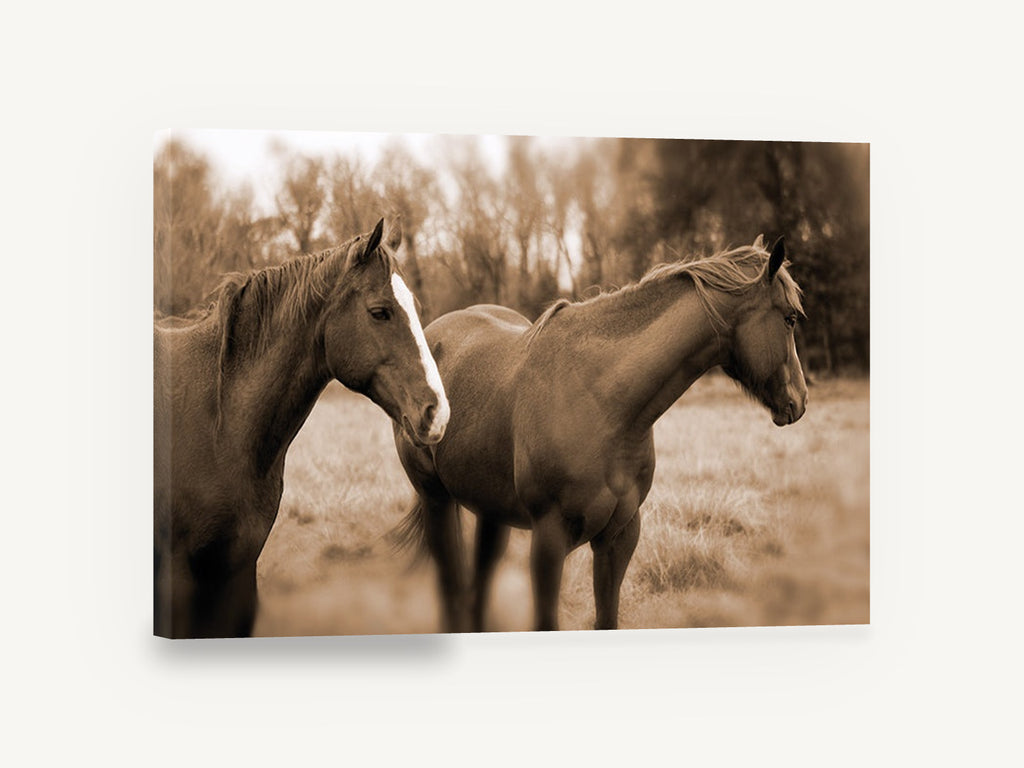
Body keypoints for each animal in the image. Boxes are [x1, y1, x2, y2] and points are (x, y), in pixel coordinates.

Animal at [394, 235, 807, 632]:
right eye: (789, 318)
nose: (799, 402)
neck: (602, 402)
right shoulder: (549, 539)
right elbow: (545, 624)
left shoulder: (620, 536)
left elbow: (607, 619)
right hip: (436, 499)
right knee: (451, 586)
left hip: (489, 510)